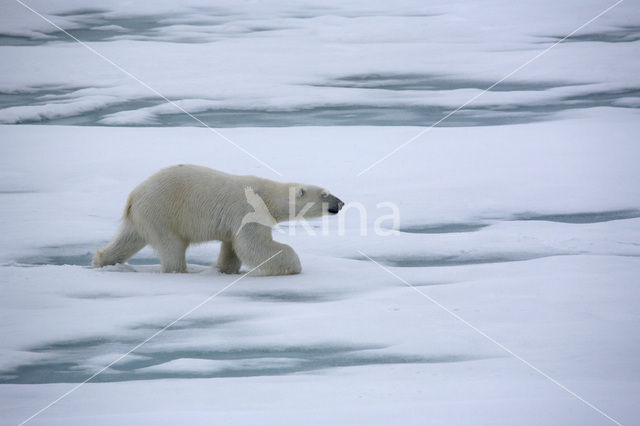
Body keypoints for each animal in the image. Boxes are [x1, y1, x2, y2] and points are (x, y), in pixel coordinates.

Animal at [92, 163, 342, 276]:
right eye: (325, 194)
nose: (340, 203)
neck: (268, 195)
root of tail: (133, 195)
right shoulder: (249, 210)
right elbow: (253, 244)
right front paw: (291, 265)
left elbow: (232, 248)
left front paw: (223, 269)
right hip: (163, 212)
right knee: (172, 246)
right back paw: (180, 271)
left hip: (142, 217)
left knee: (127, 239)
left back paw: (102, 261)